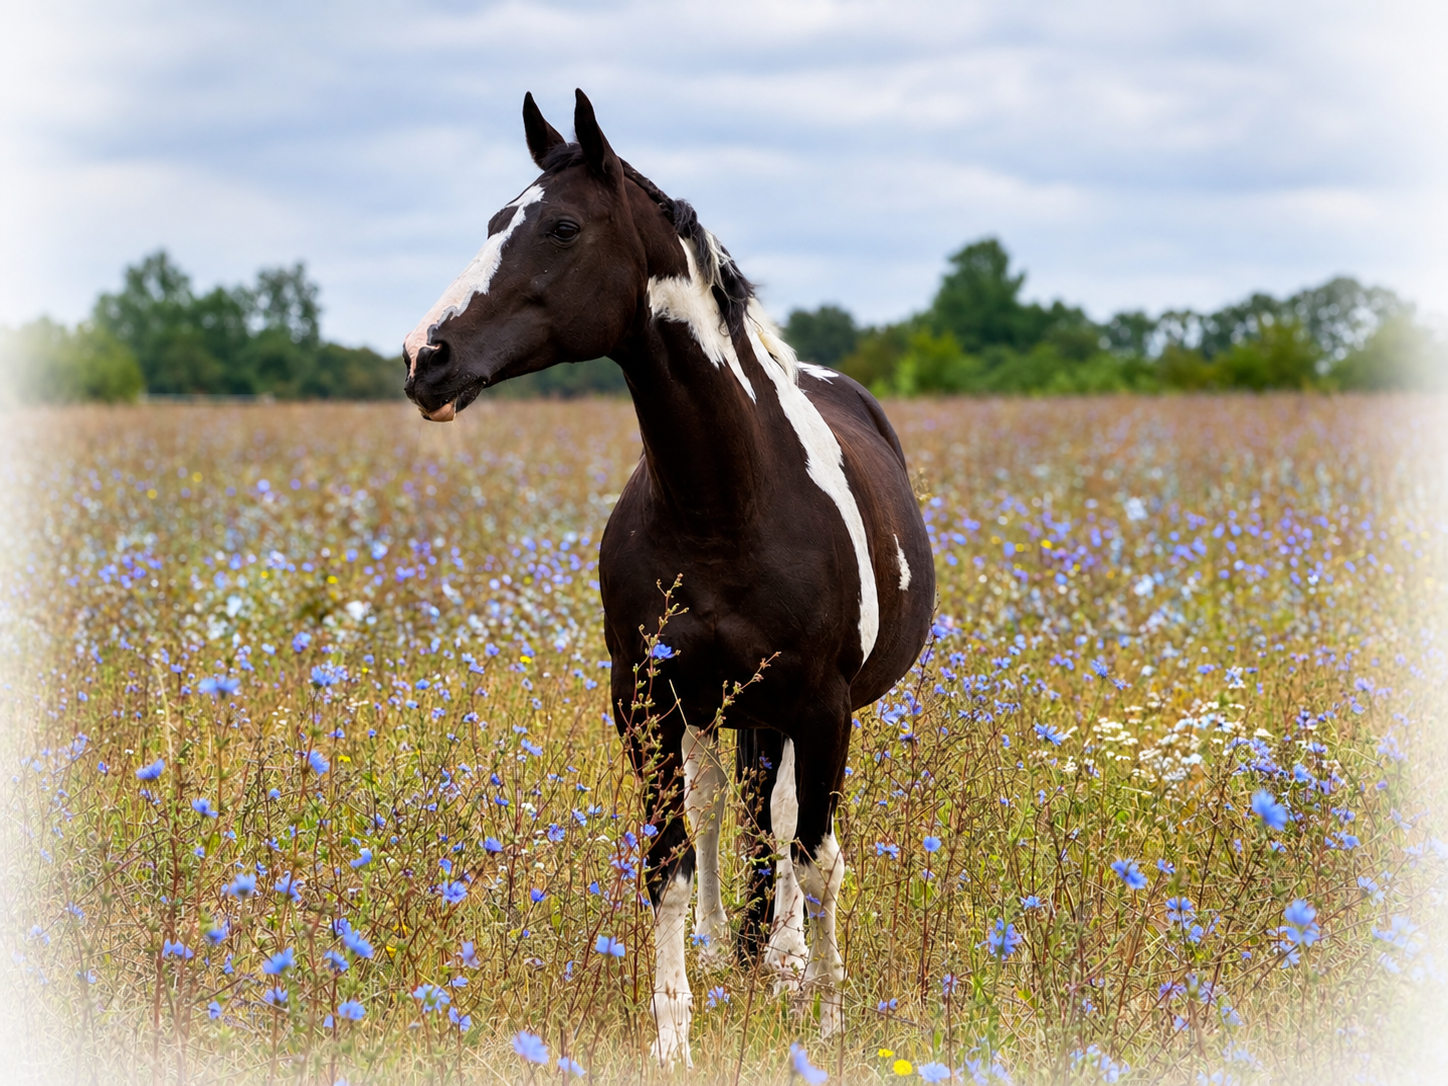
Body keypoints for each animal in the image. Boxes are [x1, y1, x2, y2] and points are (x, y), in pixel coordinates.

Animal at [403, 89, 934, 1066]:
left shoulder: (823, 707)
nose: (428, 359)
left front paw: (828, 1018)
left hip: (781, 712)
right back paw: (736, 950)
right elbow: (670, 861)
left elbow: (818, 860)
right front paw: (674, 1033)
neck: (725, 501)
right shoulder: (648, 699)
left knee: (786, 823)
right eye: (495, 222)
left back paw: (788, 962)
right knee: (729, 806)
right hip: (716, 709)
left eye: (562, 227)